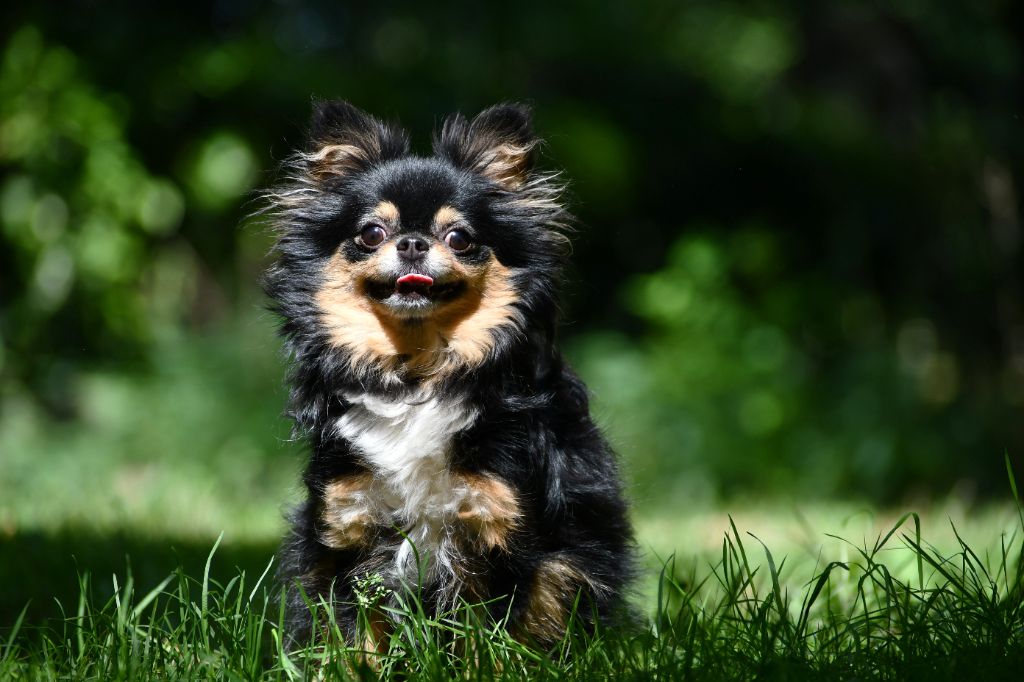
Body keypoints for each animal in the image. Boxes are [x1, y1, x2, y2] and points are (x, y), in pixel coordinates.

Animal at [262, 100, 630, 647]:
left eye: (459, 238)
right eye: (371, 233)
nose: (413, 243)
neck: (417, 373)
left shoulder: (496, 530)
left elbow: (485, 638)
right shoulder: (350, 528)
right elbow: (356, 637)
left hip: (570, 567)